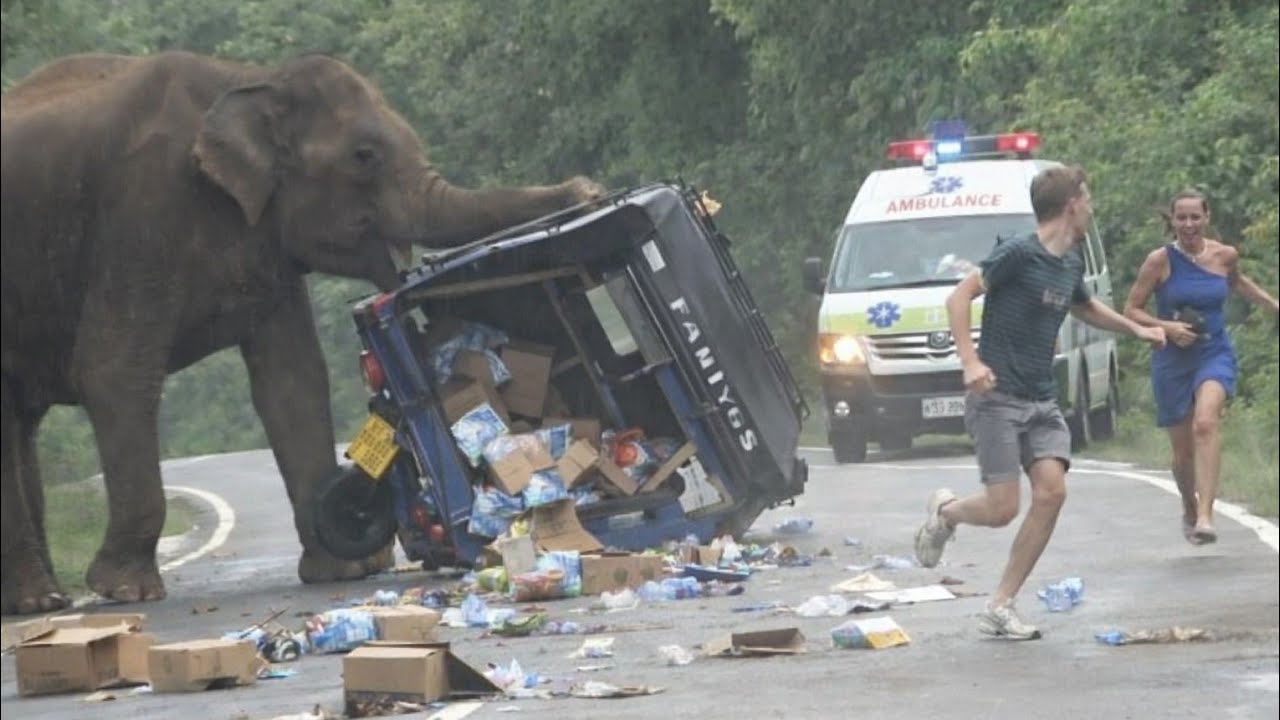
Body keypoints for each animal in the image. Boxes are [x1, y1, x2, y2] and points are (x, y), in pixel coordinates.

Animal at [0, 51, 604, 614]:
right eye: (363, 156)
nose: (591, 190)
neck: (249, 80)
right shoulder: (138, 216)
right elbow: (113, 373)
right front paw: (124, 591)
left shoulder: (267, 243)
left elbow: (291, 379)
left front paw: (345, 566)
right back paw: (39, 601)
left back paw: (39, 600)